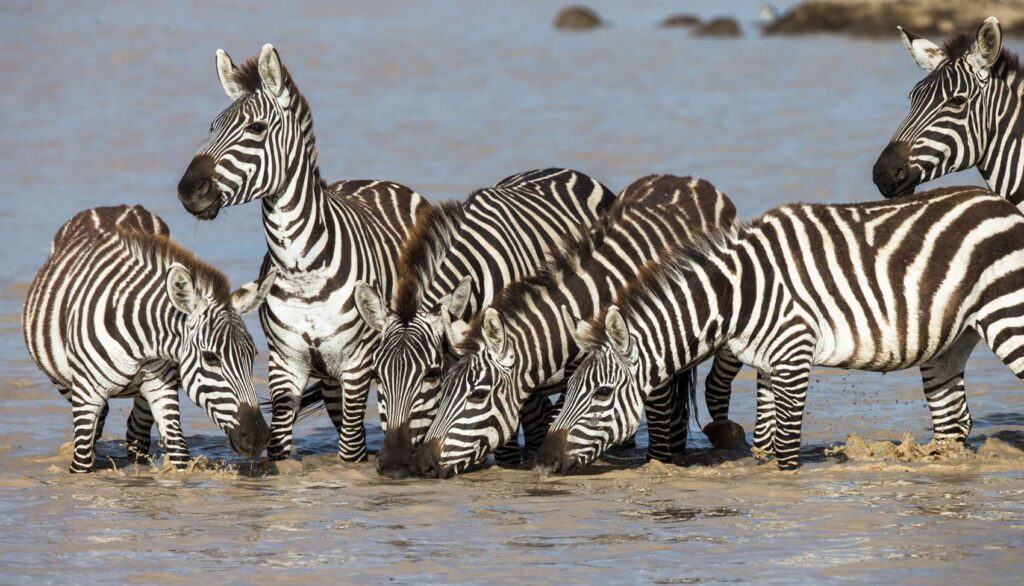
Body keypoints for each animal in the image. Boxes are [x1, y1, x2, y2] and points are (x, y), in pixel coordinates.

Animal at [23, 205, 274, 473]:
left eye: (253, 355)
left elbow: (178, 450)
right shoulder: (86, 393)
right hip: (62, 379)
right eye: (211, 358)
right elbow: (81, 460)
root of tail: (110, 208)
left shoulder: (161, 386)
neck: (141, 344)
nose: (258, 437)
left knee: (136, 432)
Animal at [176, 44, 427, 463]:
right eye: (213, 128)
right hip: (329, 379)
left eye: (256, 129)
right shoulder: (285, 362)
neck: (302, 270)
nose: (188, 190)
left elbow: (351, 453)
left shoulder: (356, 363)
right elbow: (280, 447)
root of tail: (379, 181)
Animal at [545, 186, 1024, 472]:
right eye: (568, 391)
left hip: (1008, 315)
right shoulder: (768, 365)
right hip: (951, 342)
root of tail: (1000, 202)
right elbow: (766, 441)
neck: (737, 296)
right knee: (954, 424)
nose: (546, 460)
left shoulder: (794, 355)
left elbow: (787, 449)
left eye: (602, 393)